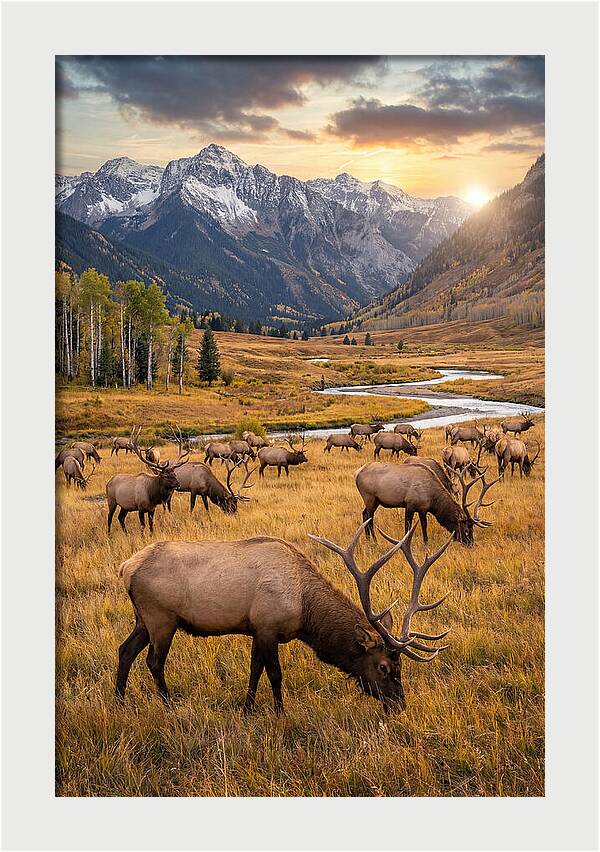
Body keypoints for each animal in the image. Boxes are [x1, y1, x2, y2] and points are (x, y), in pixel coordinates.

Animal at [115, 520, 452, 714]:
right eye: (383, 666)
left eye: (400, 666)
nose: (399, 705)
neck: (305, 610)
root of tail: (125, 568)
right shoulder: (268, 626)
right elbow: (274, 673)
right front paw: (280, 712)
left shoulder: (255, 628)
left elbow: (254, 670)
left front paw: (247, 709)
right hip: (162, 618)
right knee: (154, 661)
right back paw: (168, 704)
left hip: (142, 619)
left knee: (125, 650)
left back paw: (119, 701)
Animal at [355, 461, 498, 546]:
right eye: (467, 530)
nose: (471, 544)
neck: (433, 499)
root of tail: (357, 473)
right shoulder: (410, 504)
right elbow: (407, 527)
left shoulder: (423, 509)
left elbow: (424, 526)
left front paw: (426, 544)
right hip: (369, 497)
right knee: (369, 517)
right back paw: (374, 541)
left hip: (375, 501)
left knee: (364, 514)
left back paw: (368, 539)